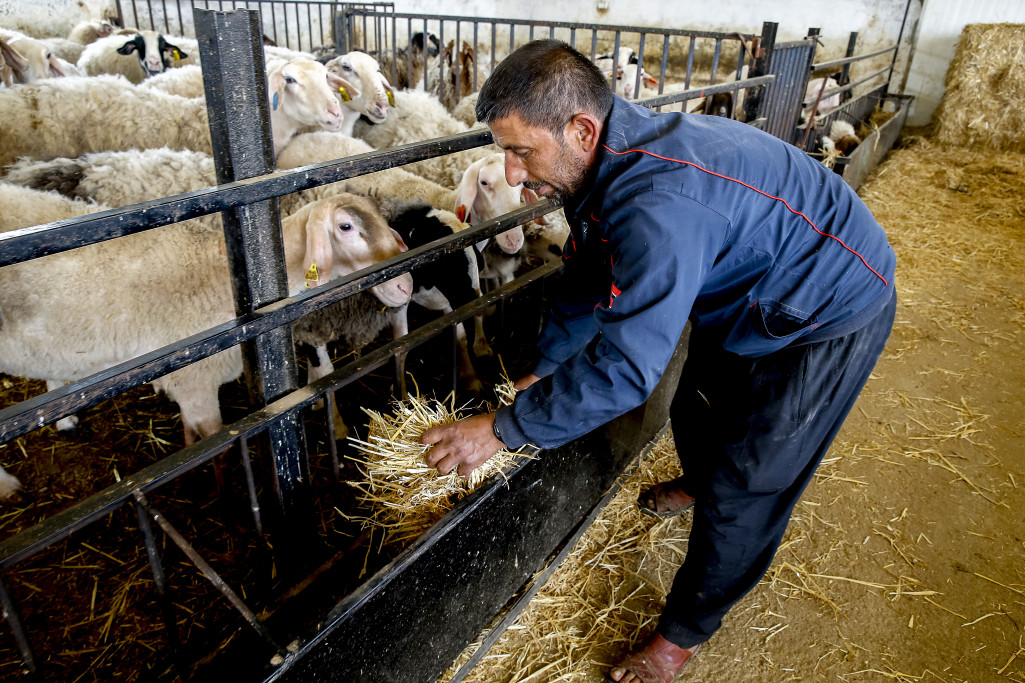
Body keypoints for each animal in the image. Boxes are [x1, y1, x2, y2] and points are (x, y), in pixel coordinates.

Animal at [0, 188, 412, 498]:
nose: (405, 284)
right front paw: (219, 489)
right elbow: (217, 445)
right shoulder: (196, 382)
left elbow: (189, 433)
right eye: (346, 226)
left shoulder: (189, 384)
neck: (221, 280)